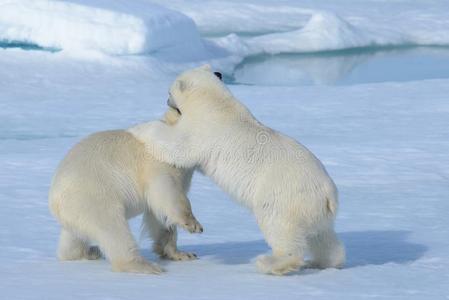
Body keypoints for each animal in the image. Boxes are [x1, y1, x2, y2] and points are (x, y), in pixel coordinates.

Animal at [49, 108, 201, 274]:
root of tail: (54, 199)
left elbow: (159, 215)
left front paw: (182, 254)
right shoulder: (159, 164)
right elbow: (165, 193)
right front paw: (193, 225)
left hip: (74, 212)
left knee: (72, 237)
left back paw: (89, 252)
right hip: (93, 196)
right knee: (113, 229)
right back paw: (144, 265)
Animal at [128, 64, 344, 276]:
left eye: (169, 91)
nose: (167, 100)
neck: (217, 104)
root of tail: (328, 194)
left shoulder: (203, 132)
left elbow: (177, 146)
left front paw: (137, 127)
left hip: (284, 197)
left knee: (280, 228)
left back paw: (271, 263)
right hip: (314, 210)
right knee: (322, 237)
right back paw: (323, 262)